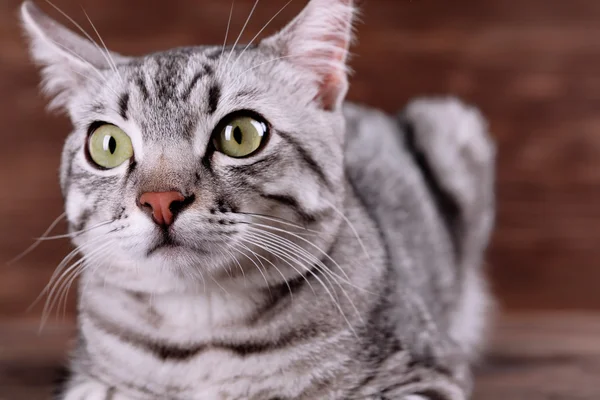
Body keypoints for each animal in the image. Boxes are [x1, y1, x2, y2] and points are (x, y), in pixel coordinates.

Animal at [21, 0, 494, 398]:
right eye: (108, 145)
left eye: (241, 134)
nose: (159, 200)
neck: (202, 332)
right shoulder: (88, 383)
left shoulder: (423, 377)